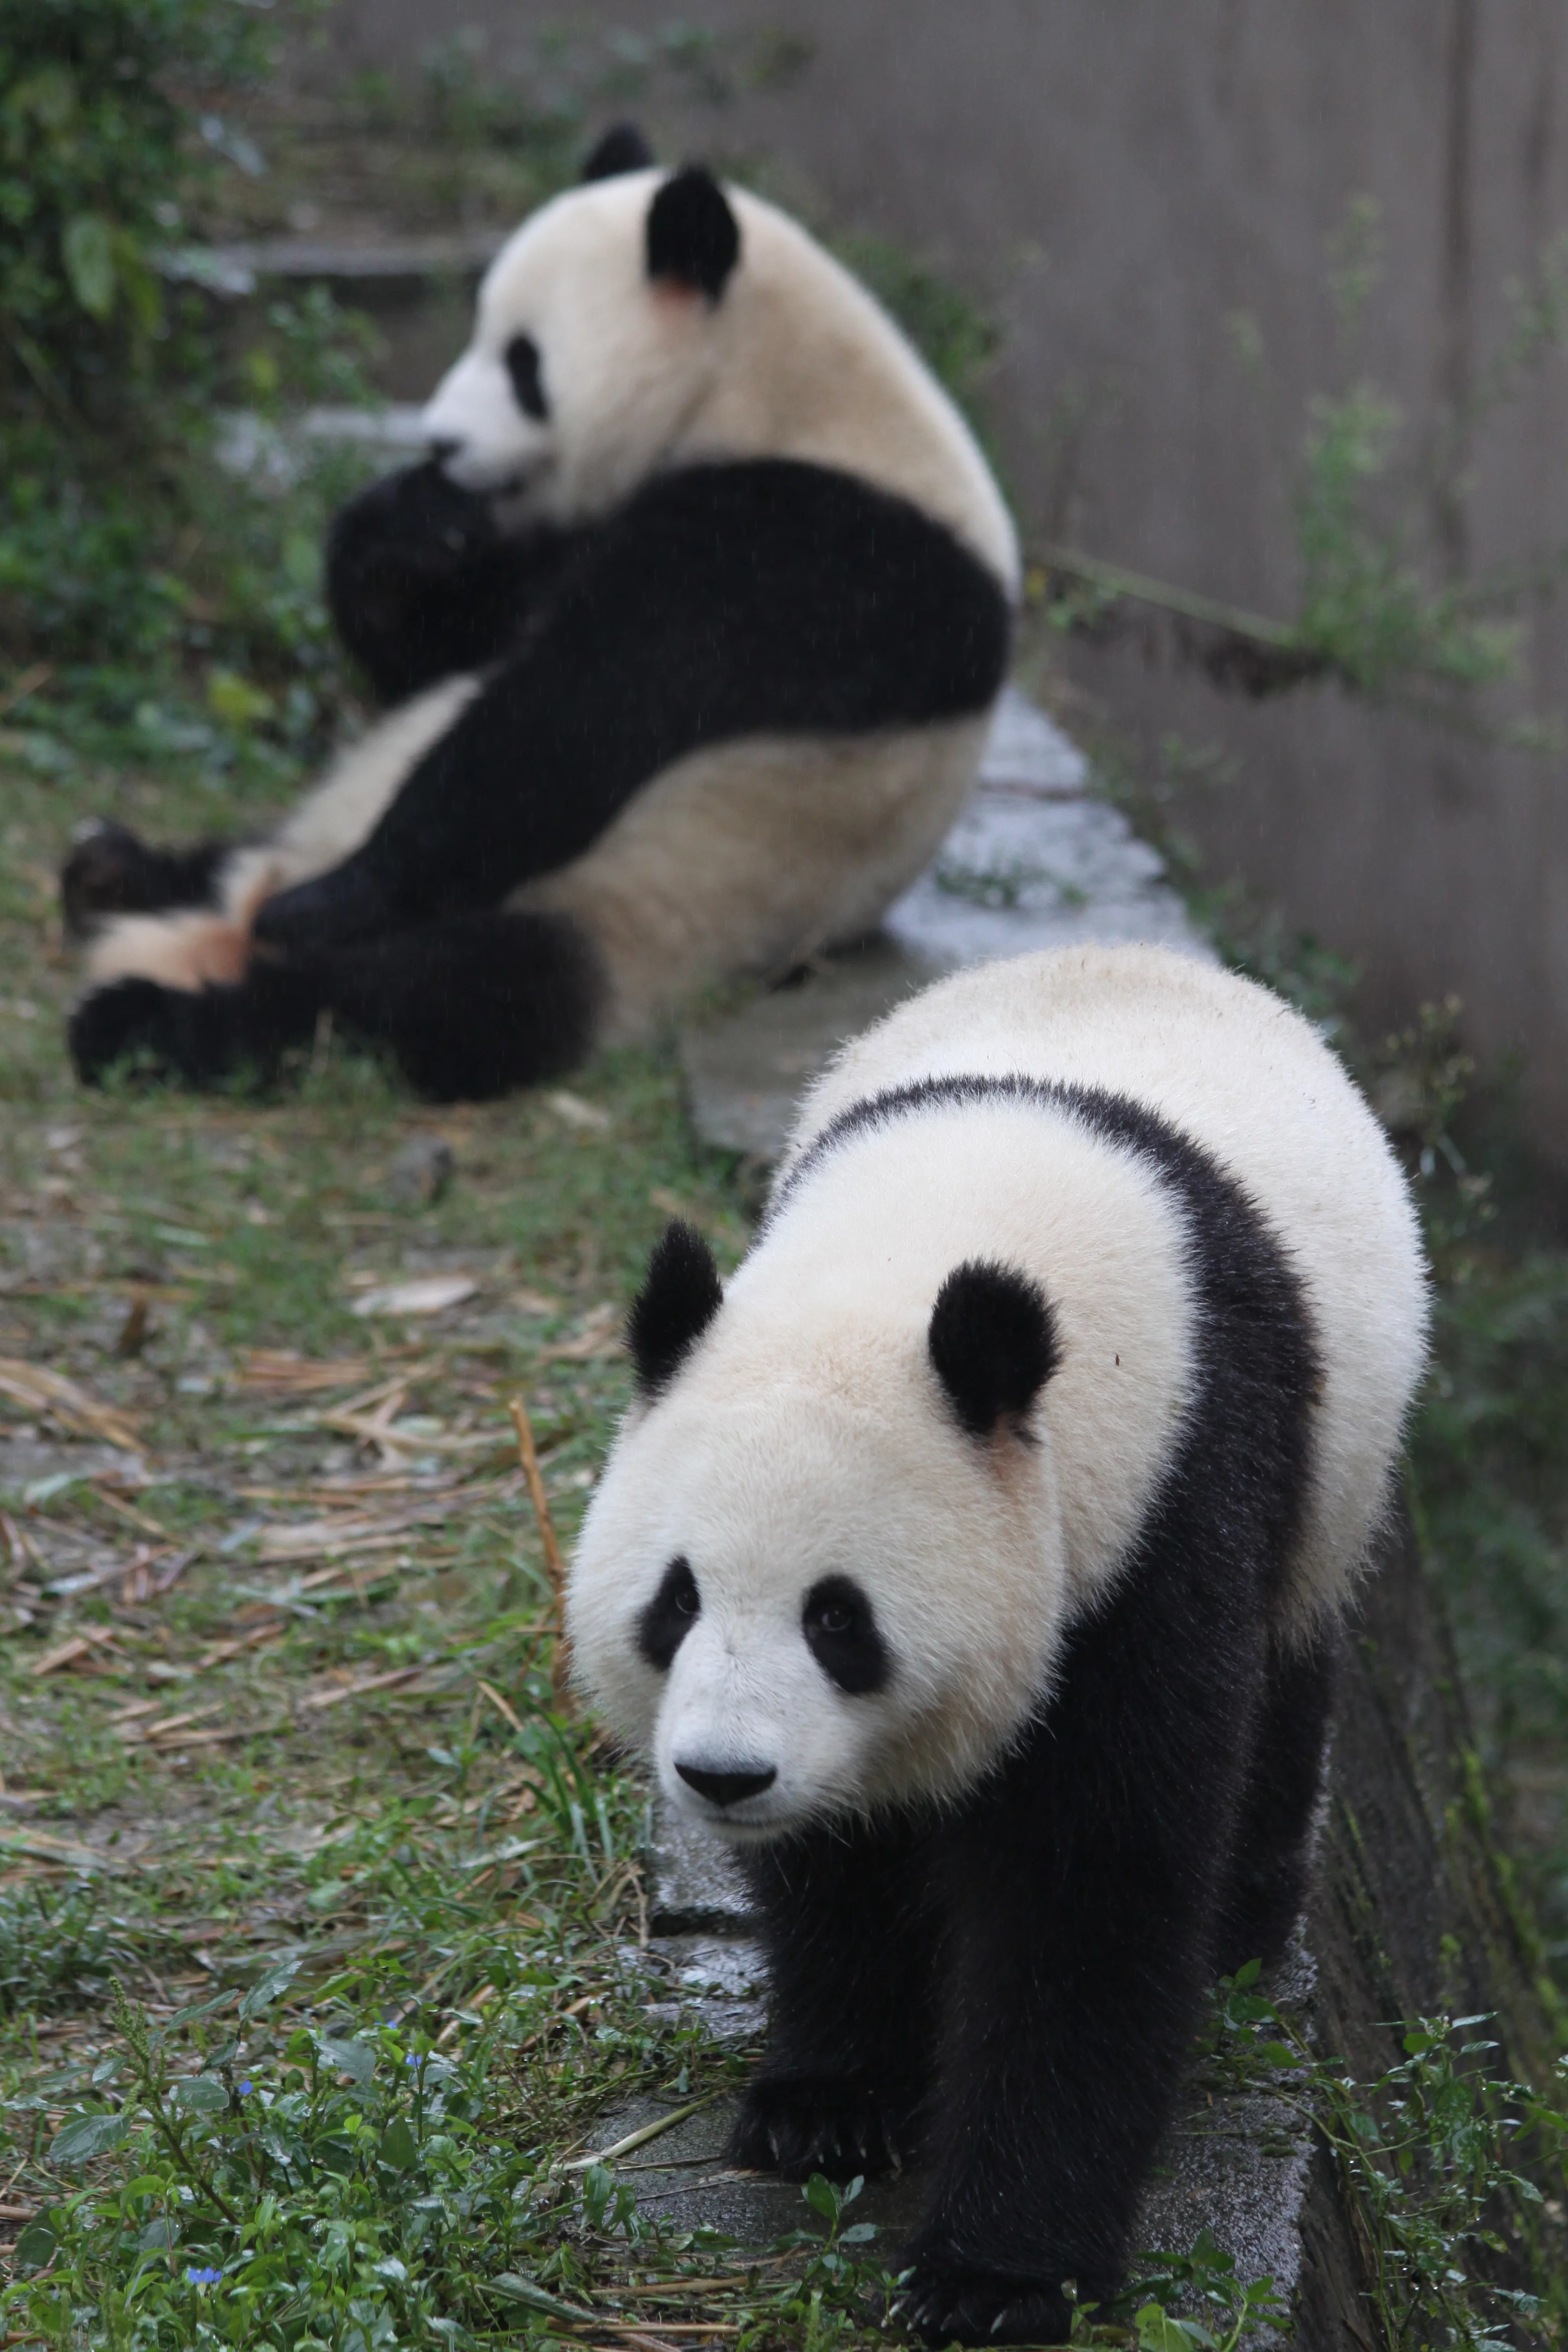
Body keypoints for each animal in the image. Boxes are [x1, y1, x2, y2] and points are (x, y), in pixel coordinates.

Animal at [61, 126, 1017, 1102]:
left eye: (523, 363)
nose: (440, 441)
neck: (772, 387)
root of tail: (223, 922)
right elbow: (451, 647)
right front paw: (405, 530)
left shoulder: (811, 553)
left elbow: (574, 714)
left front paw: (329, 907)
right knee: (250, 858)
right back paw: (115, 872)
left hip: (628, 912)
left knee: (429, 997)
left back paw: (156, 1016)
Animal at [566, 943, 1428, 2346]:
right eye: (677, 1600)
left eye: (838, 1617)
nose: (723, 1775)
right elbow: (839, 1866)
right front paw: (827, 2103)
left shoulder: (1163, 1508)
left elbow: (1090, 1883)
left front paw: (998, 2271)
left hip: (1334, 1478)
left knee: (1289, 1673)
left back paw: (1245, 1925)